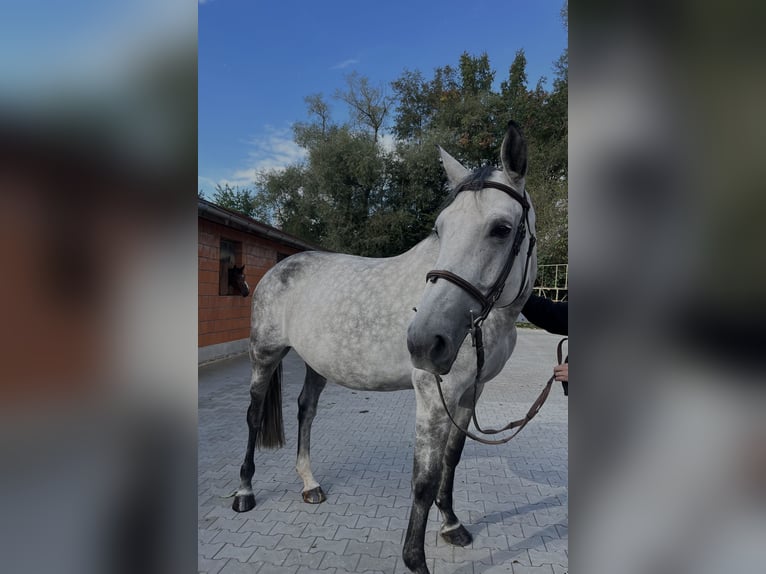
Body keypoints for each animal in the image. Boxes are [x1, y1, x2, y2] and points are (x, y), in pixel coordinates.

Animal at [231, 121, 537, 574]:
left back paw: (309, 484)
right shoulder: (433, 393)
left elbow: (451, 459)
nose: (424, 341)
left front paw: (451, 525)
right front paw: (416, 560)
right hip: (264, 354)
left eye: (501, 228)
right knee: (253, 416)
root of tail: (278, 268)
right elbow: (424, 478)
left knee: (306, 411)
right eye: (440, 229)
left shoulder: (471, 392)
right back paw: (244, 492)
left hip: (317, 364)